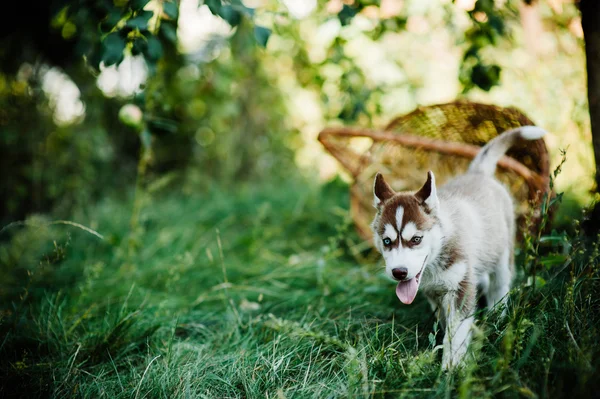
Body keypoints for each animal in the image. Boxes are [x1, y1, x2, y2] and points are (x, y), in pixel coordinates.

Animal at [370, 126, 544, 370]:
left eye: (416, 239)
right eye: (387, 241)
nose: (399, 272)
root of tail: (478, 173)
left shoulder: (460, 289)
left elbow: (457, 331)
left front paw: (451, 368)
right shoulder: (434, 293)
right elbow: (446, 325)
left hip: (503, 255)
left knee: (499, 286)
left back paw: (497, 318)